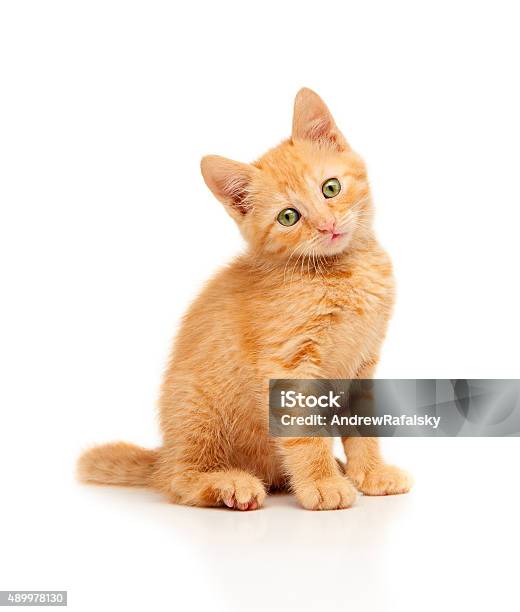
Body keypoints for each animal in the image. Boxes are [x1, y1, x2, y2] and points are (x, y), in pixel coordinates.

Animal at [77, 88, 410, 512]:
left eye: (330, 188)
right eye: (288, 217)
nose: (327, 226)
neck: (339, 272)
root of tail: (163, 454)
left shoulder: (362, 364)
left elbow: (362, 423)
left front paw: (370, 473)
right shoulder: (289, 363)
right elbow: (305, 432)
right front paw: (322, 484)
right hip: (198, 411)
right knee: (177, 480)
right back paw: (229, 484)